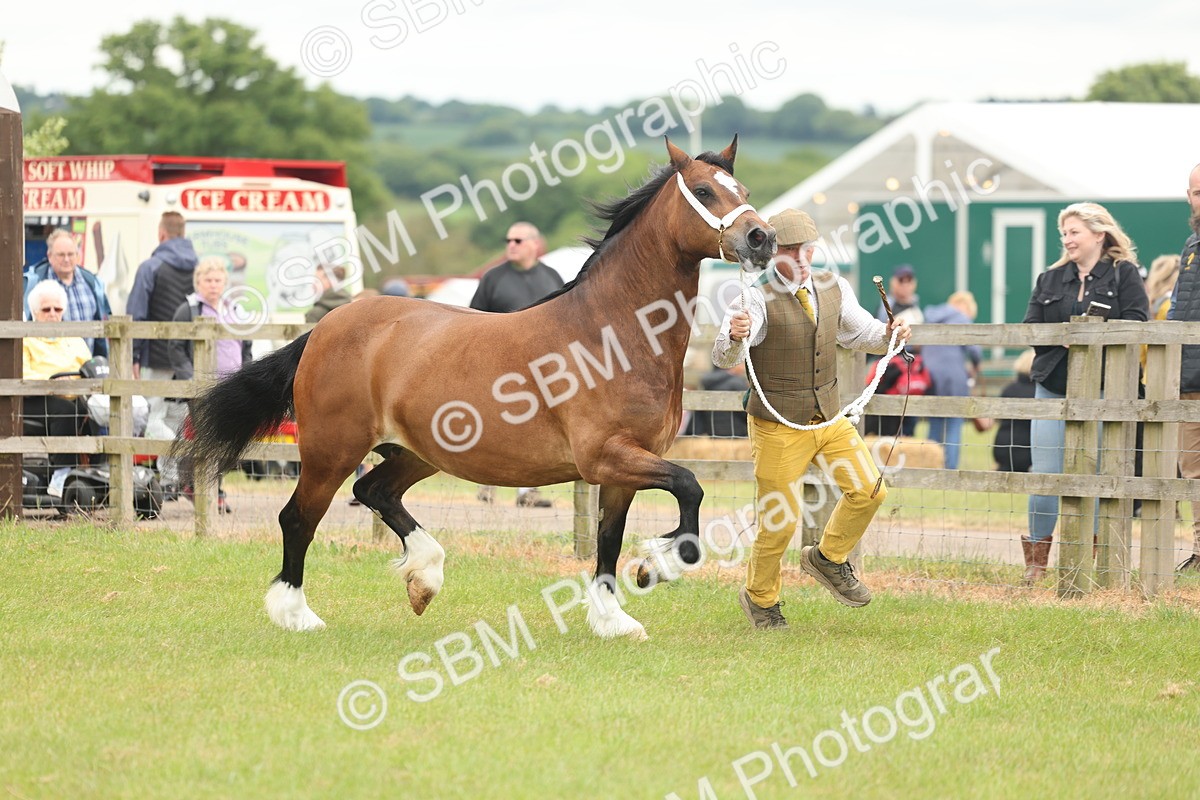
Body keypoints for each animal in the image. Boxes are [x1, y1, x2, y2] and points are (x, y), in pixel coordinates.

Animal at [176, 137, 775, 640]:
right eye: (704, 191)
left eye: (743, 192)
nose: (761, 238)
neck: (611, 333)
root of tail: (325, 327)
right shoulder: (606, 456)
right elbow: (690, 487)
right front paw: (659, 564)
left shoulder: (624, 467)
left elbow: (610, 537)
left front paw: (613, 618)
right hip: (331, 449)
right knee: (299, 518)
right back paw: (297, 613)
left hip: (418, 452)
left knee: (374, 492)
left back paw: (424, 577)